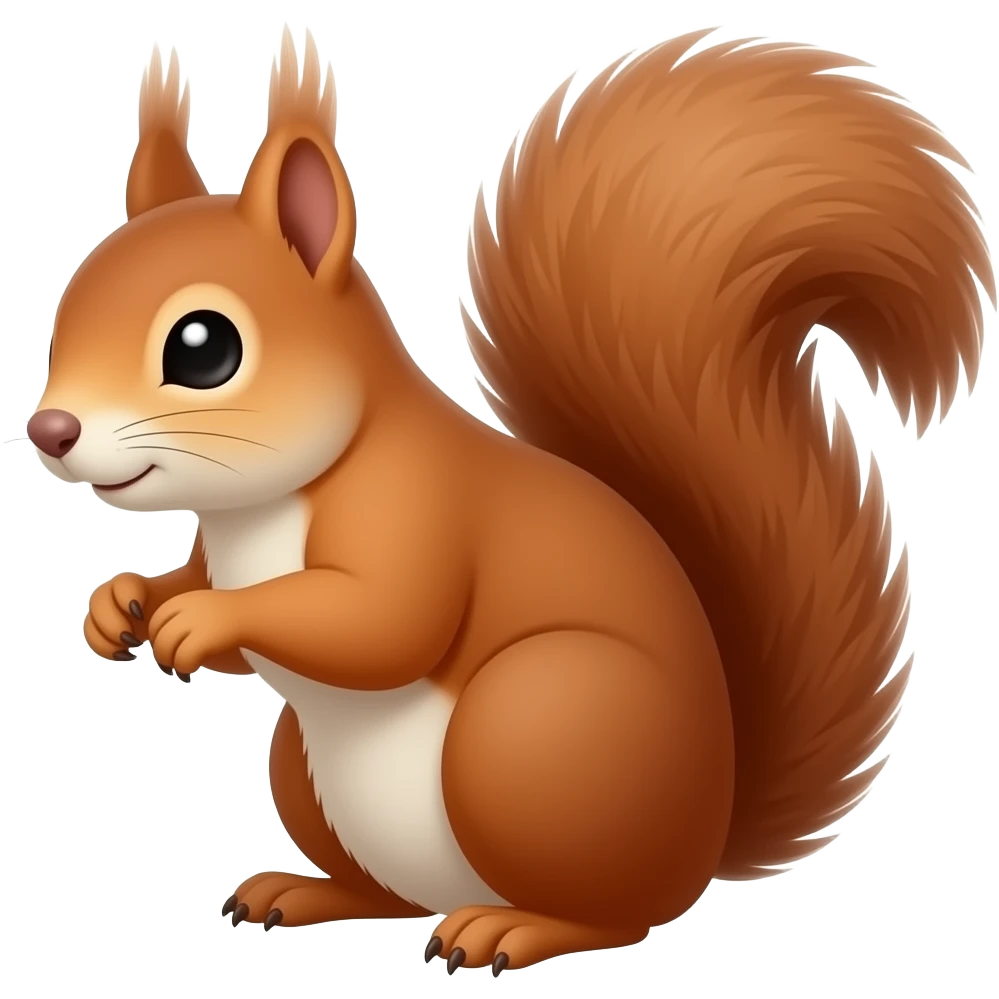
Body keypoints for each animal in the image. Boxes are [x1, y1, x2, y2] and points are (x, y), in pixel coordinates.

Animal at [27, 24, 992, 974]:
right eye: (65, 307)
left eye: (204, 347)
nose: (50, 429)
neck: (261, 507)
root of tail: (705, 839)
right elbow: (199, 585)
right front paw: (121, 603)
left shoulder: (412, 504)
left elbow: (381, 621)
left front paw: (206, 620)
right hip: (305, 764)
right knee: (390, 892)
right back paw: (306, 893)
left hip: (532, 727)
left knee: (617, 912)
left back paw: (512, 929)